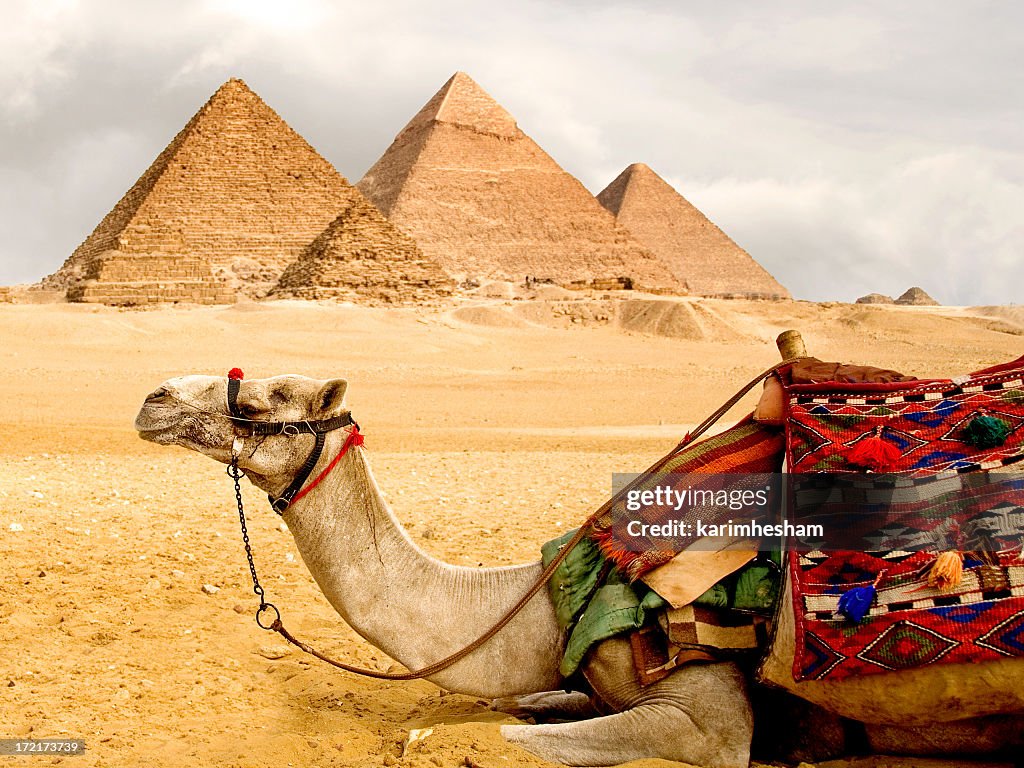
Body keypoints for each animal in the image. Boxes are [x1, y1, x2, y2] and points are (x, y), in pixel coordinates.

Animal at [136, 376, 1024, 765]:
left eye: (261, 400)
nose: (153, 398)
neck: (533, 599)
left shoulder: (710, 720)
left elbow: (509, 738)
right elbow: (523, 706)